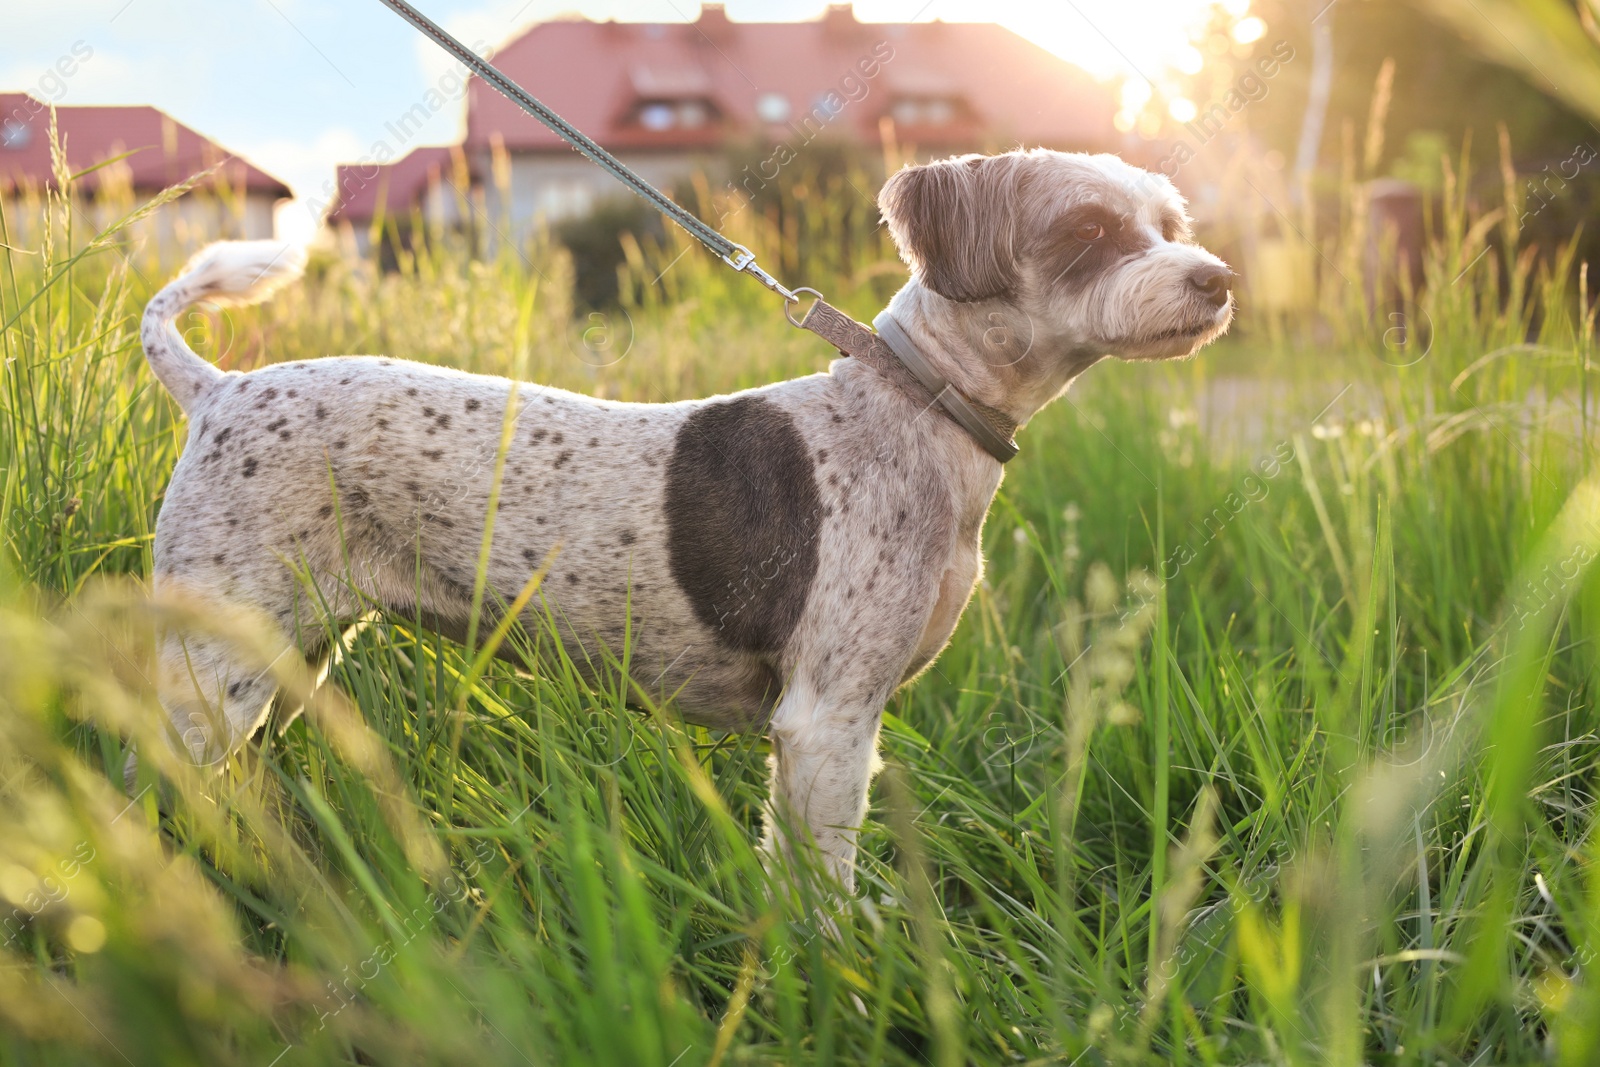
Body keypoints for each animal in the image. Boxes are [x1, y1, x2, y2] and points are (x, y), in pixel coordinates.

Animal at [140, 146, 1235, 889]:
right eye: (1086, 231)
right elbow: (825, 893)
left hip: (288, 659)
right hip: (211, 678)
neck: (914, 408)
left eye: (1170, 222)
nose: (1216, 278)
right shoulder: (828, 717)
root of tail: (217, 389)